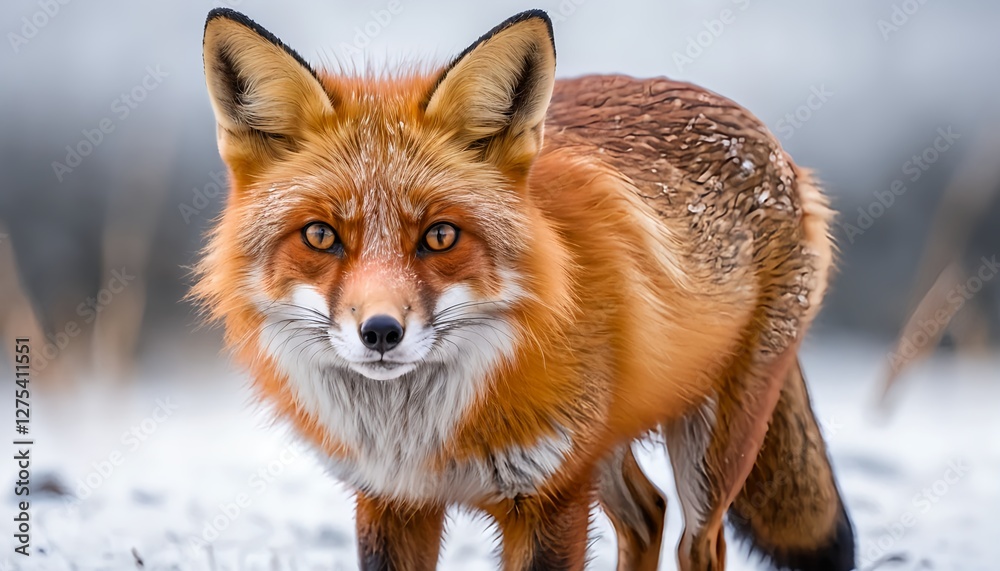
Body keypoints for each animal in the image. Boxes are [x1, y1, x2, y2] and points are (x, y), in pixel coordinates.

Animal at [194, 7, 855, 571]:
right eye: (320, 235)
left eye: (439, 235)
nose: (380, 332)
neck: (421, 436)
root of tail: (773, 145)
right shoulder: (390, 500)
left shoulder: (550, 496)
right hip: (608, 448)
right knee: (647, 515)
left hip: (709, 454)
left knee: (699, 542)